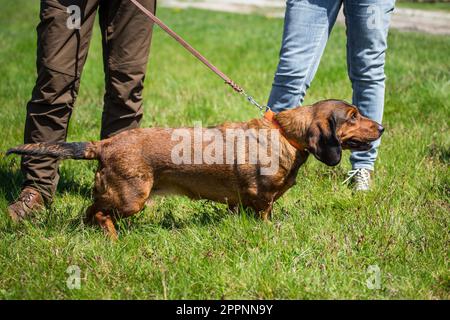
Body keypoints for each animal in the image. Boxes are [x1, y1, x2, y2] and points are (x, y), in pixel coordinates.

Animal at [7, 99, 384, 238]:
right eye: (353, 117)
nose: (381, 128)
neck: (285, 134)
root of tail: (105, 144)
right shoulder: (261, 197)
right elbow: (264, 215)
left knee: (90, 212)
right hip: (132, 197)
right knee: (98, 212)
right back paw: (112, 236)